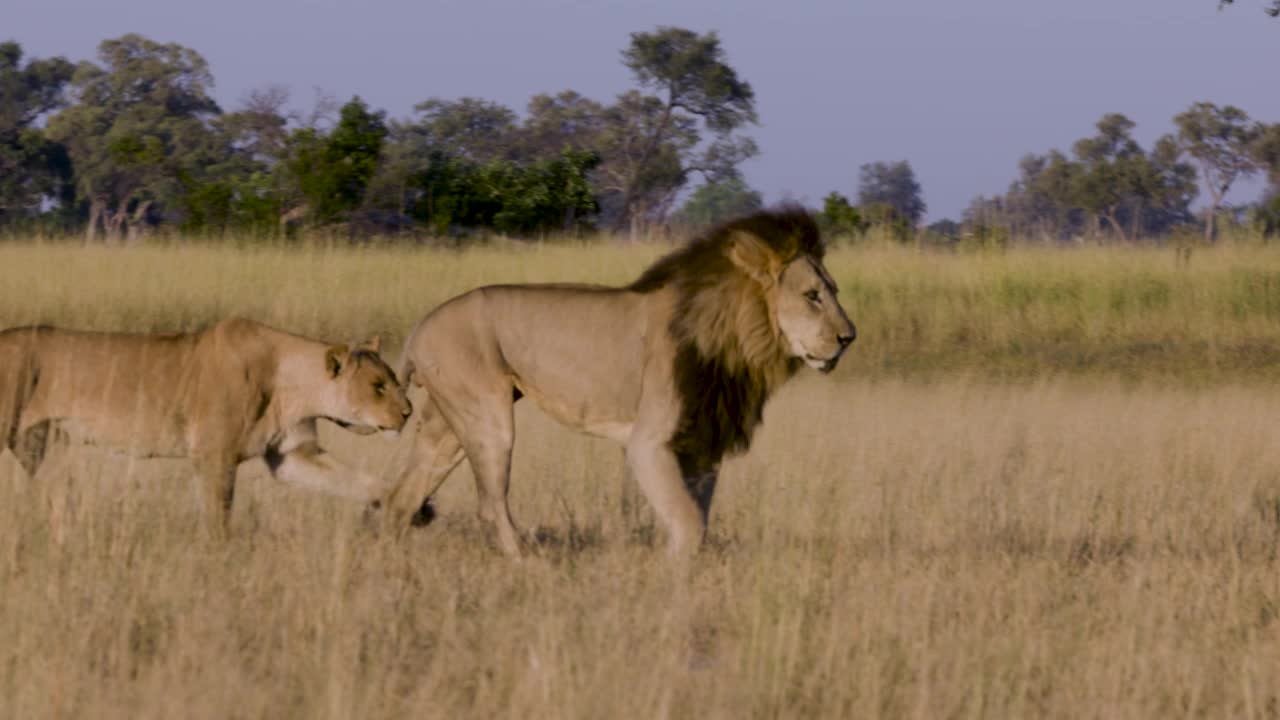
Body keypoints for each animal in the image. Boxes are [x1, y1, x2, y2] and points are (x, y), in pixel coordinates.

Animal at [0, 313, 409, 532]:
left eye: (393, 378)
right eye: (378, 386)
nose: (408, 412)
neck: (294, 384)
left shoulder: (292, 455)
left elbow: (359, 482)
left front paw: (407, 507)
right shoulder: (214, 455)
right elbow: (219, 517)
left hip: (36, 445)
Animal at [384, 207, 855, 556]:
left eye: (834, 290)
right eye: (812, 296)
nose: (848, 337)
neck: (736, 337)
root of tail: (417, 330)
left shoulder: (703, 445)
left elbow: (698, 518)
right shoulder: (648, 443)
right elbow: (688, 521)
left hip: (447, 427)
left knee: (401, 498)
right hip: (487, 416)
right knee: (489, 504)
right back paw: (528, 562)